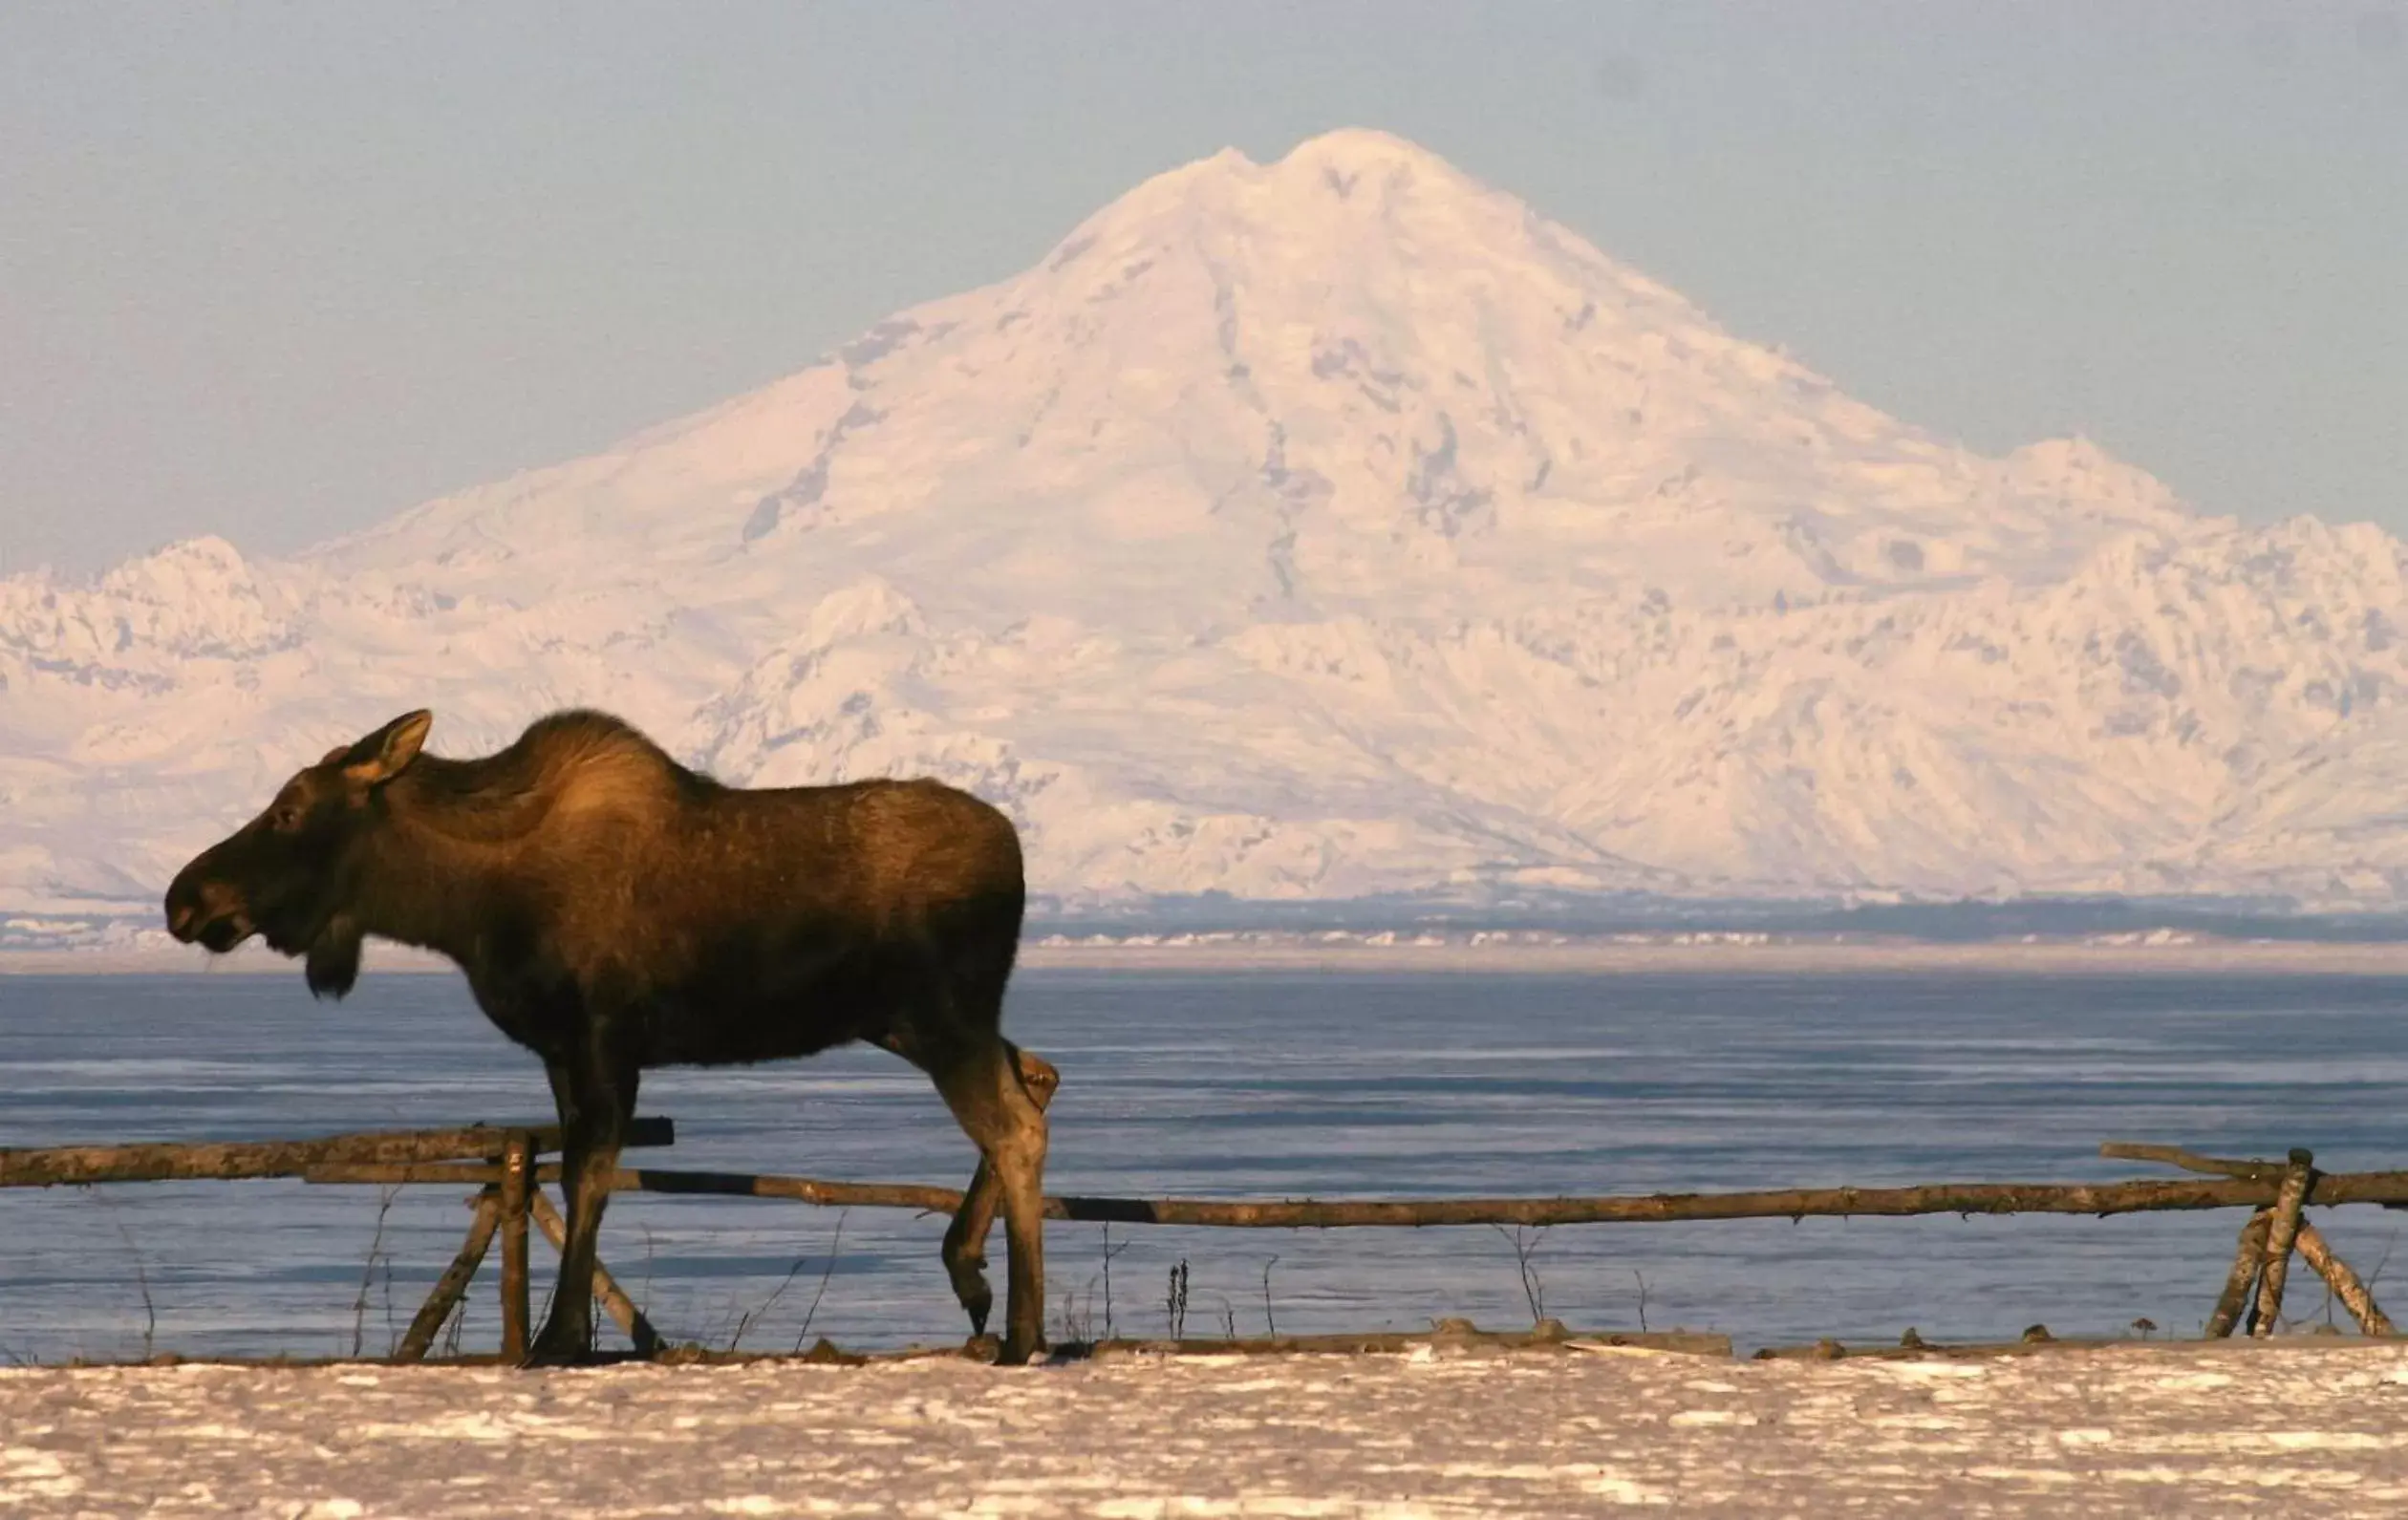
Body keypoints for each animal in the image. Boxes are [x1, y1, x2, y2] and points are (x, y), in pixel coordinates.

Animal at [164, 713, 1059, 1368]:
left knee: (1016, 1123)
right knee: (1037, 1074)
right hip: (917, 1019)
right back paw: (971, 1273)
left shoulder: (601, 1039)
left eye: (289, 809)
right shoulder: (562, 1051)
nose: (184, 897)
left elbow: (588, 1175)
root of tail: (1019, 855)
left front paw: (559, 1337)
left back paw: (1022, 1329)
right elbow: (573, 1174)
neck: (463, 907)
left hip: (941, 1014)